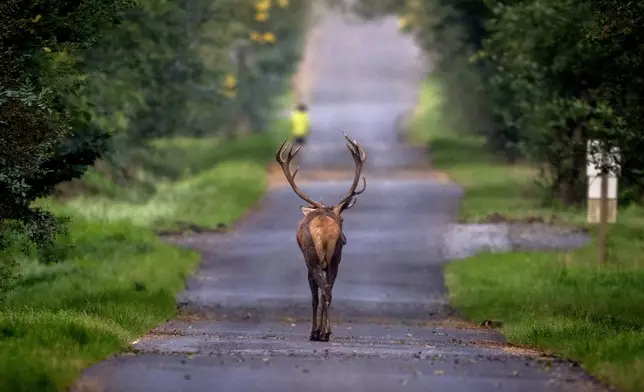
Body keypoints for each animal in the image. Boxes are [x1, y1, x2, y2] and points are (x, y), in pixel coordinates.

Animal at [276, 132, 368, 340]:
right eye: (342, 220)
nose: (345, 239)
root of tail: (325, 231)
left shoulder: (308, 263)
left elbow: (313, 297)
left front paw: (314, 331)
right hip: (335, 258)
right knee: (330, 289)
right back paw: (327, 332)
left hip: (314, 258)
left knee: (323, 291)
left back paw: (320, 333)